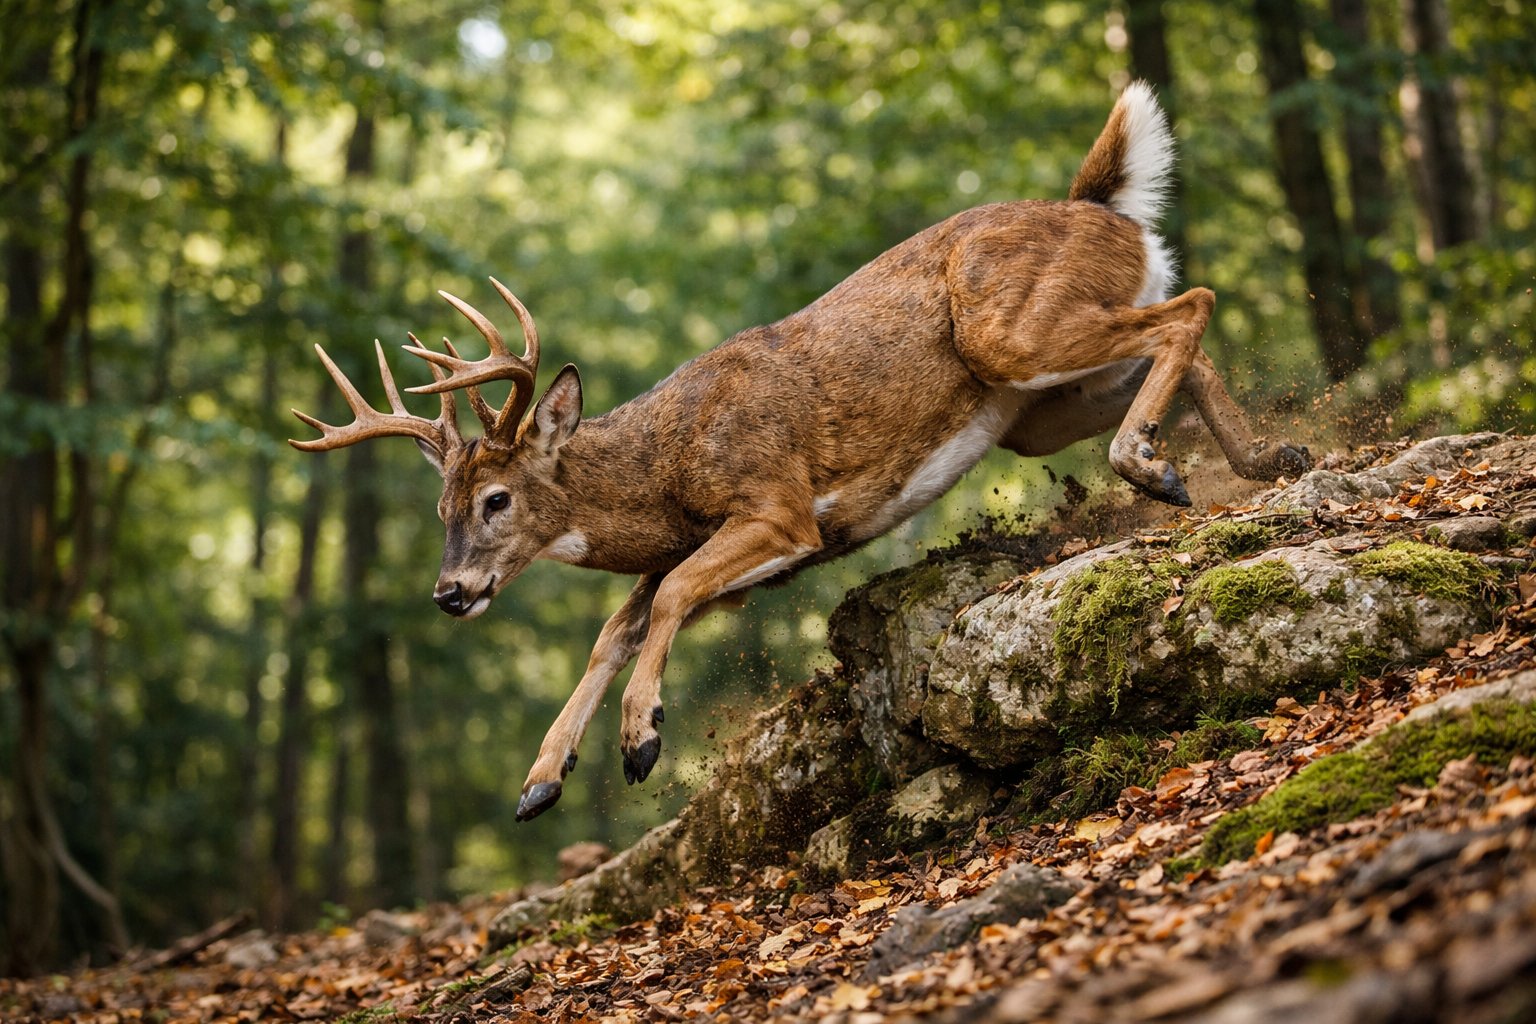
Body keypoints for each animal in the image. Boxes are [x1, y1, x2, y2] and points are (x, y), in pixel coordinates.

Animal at [291, 83, 1311, 822]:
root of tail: (1099, 208)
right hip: (1029, 408)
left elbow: (666, 596)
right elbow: (616, 628)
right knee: (1181, 334)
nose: (449, 592)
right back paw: (1269, 459)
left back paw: (1151, 464)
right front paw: (542, 779)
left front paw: (642, 740)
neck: (665, 469)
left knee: (1193, 303)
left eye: (496, 499)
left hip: (1012, 338)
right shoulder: (713, 546)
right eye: (442, 509)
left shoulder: (779, 508)